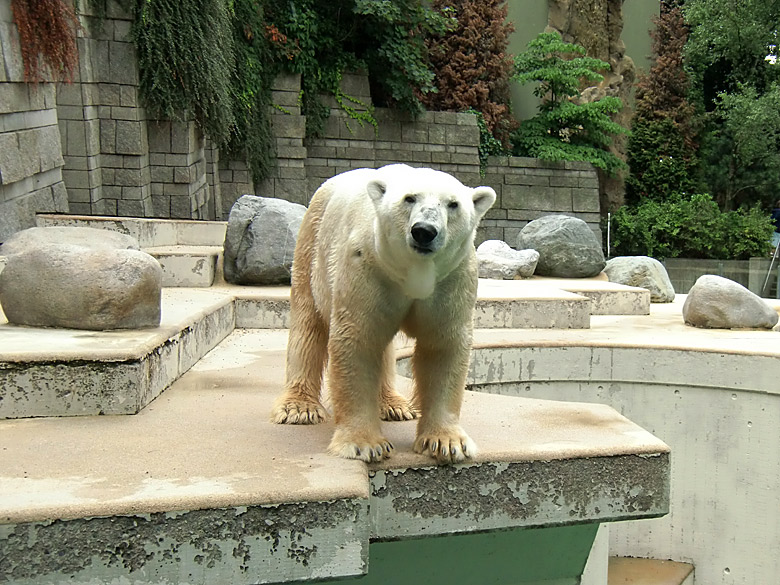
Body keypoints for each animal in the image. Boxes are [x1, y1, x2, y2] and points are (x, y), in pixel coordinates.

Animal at [272, 163, 496, 460]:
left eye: (453, 204)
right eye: (409, 198)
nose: (424, 231)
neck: (413, 273)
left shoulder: (453, 278)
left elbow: (443, 346)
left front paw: (448, 442)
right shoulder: (366, 265)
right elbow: (358, 340)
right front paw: (364, 444)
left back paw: (394, 405)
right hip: (311, 243)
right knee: (307, 322)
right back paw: (299, 408)